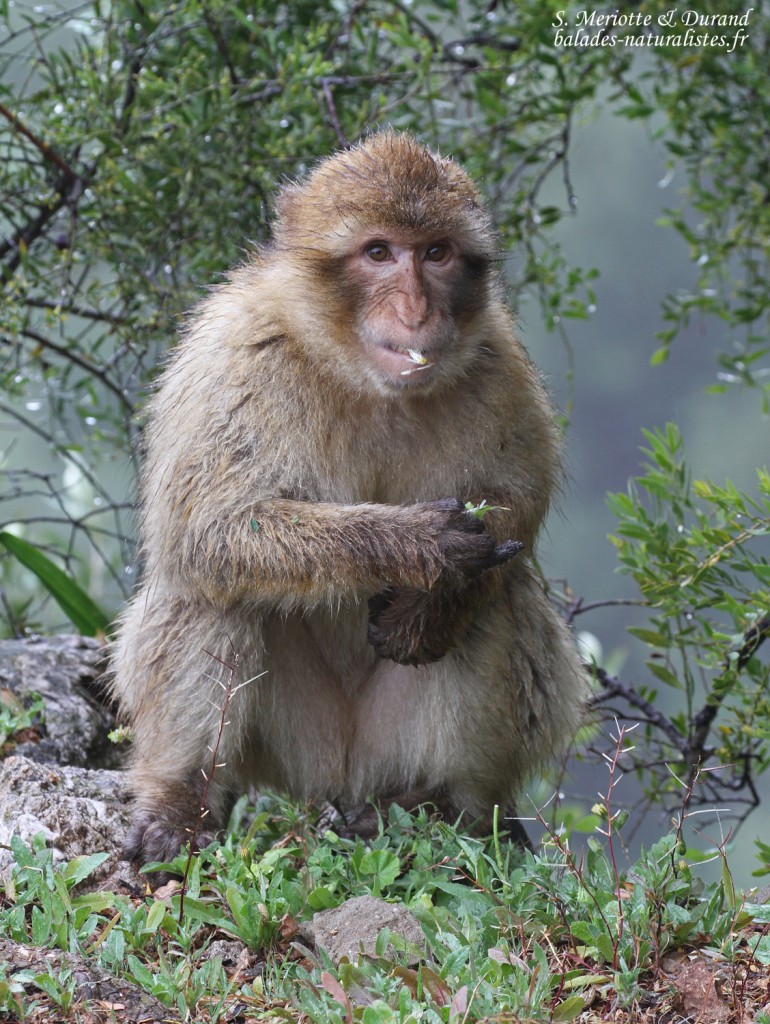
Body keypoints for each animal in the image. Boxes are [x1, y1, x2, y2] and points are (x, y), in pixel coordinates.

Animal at [109, 130, 587, 866]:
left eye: (436, 253)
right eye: (378, 252)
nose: (416, 310)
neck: (359, 375)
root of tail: (342, 779)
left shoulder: (498, 362)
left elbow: (512, 502)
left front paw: (434, 600)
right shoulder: (234, 354)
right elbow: (210, 527)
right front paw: (419, 546)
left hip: (386, 747)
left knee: (497, 596)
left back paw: (442, 802)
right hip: (293, 744)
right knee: (207, 584)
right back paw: (181, 801)